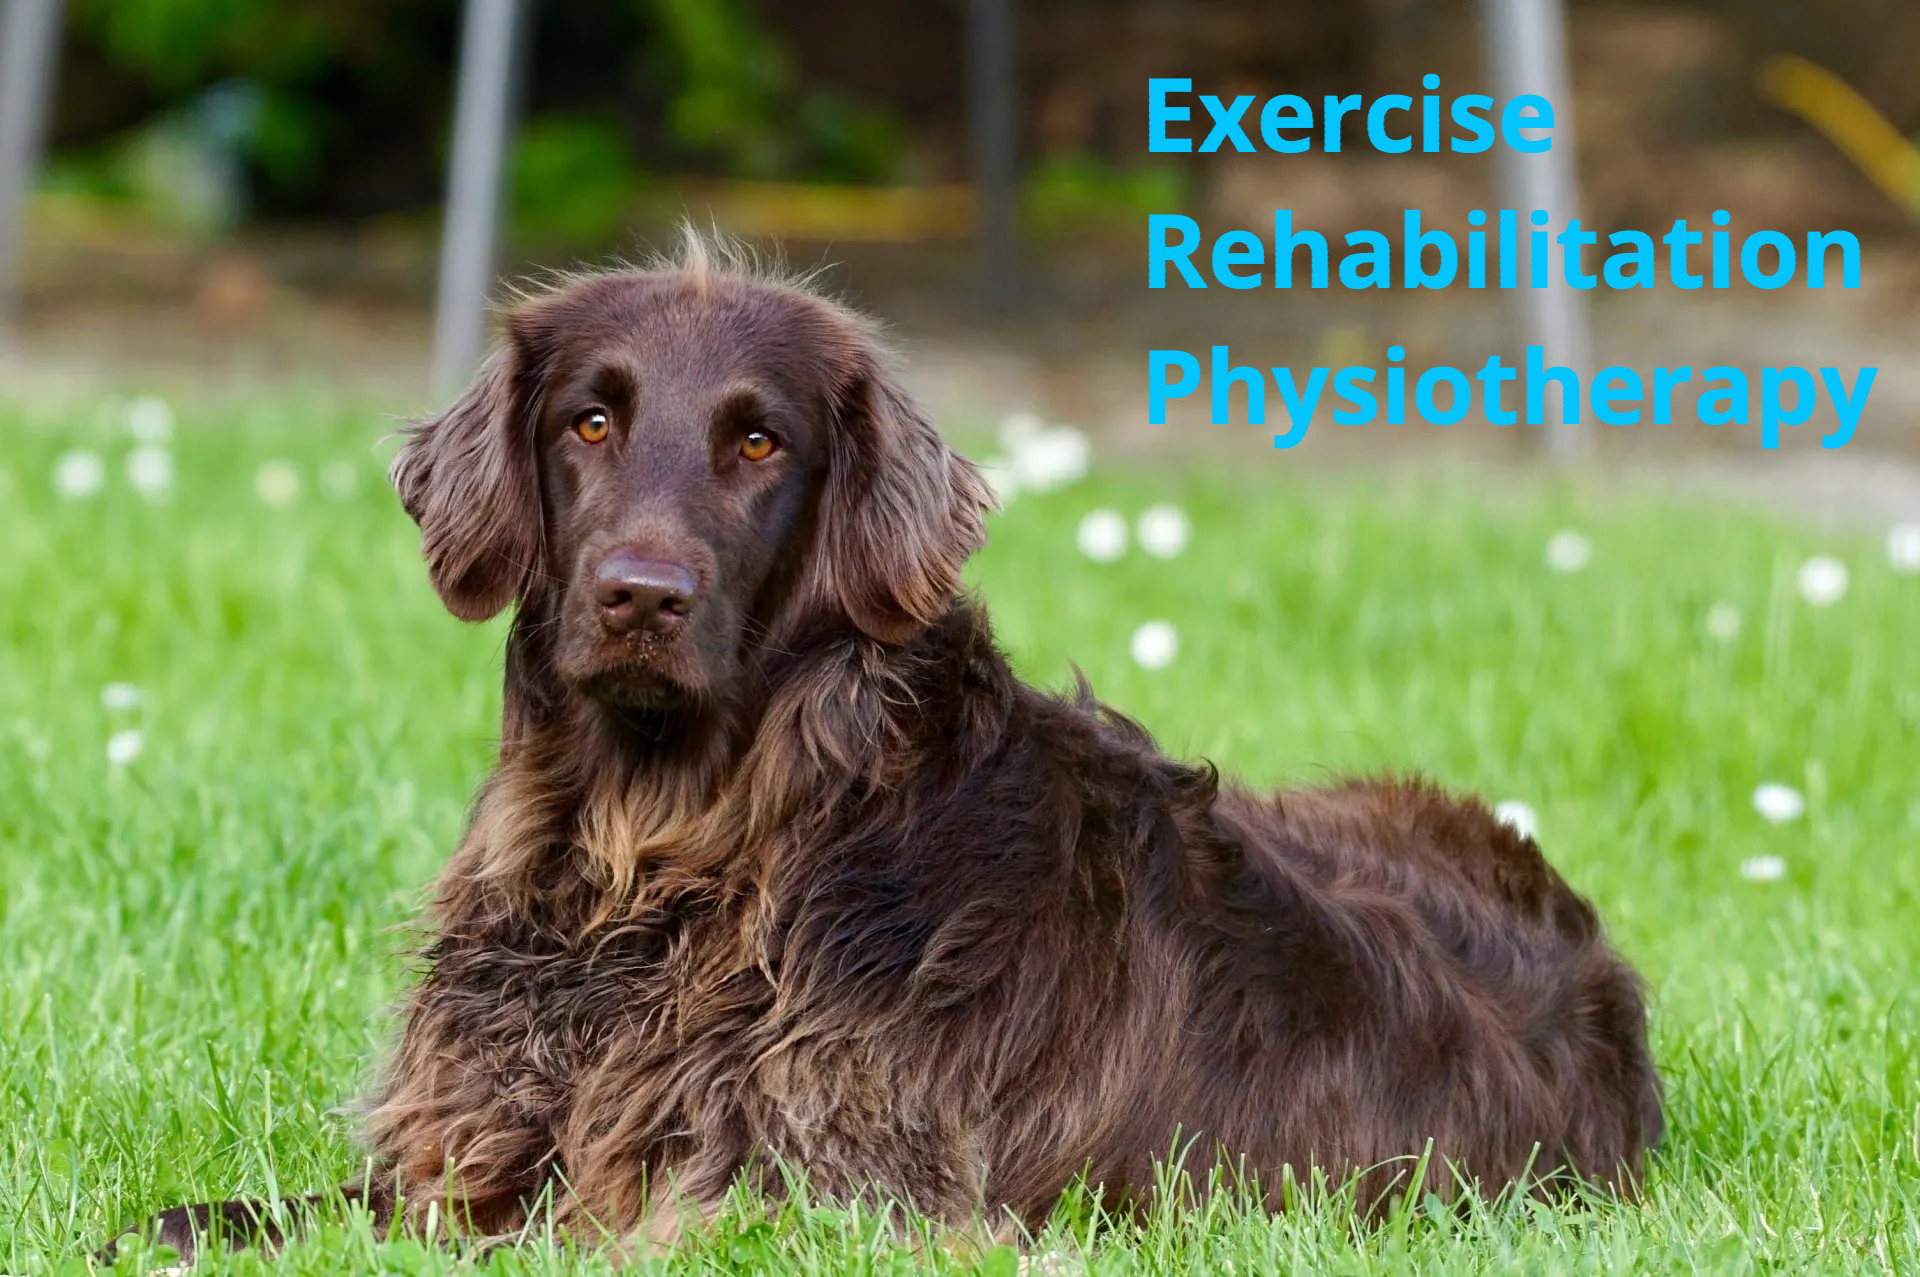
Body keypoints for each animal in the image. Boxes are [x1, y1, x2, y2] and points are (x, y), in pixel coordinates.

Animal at [112, 236, 1658, 1252]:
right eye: (590, 420)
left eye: (759, 445)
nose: (640, 596)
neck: (676, 857)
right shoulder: (478, 1141)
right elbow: (229, 1214)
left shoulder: (817, 1200)